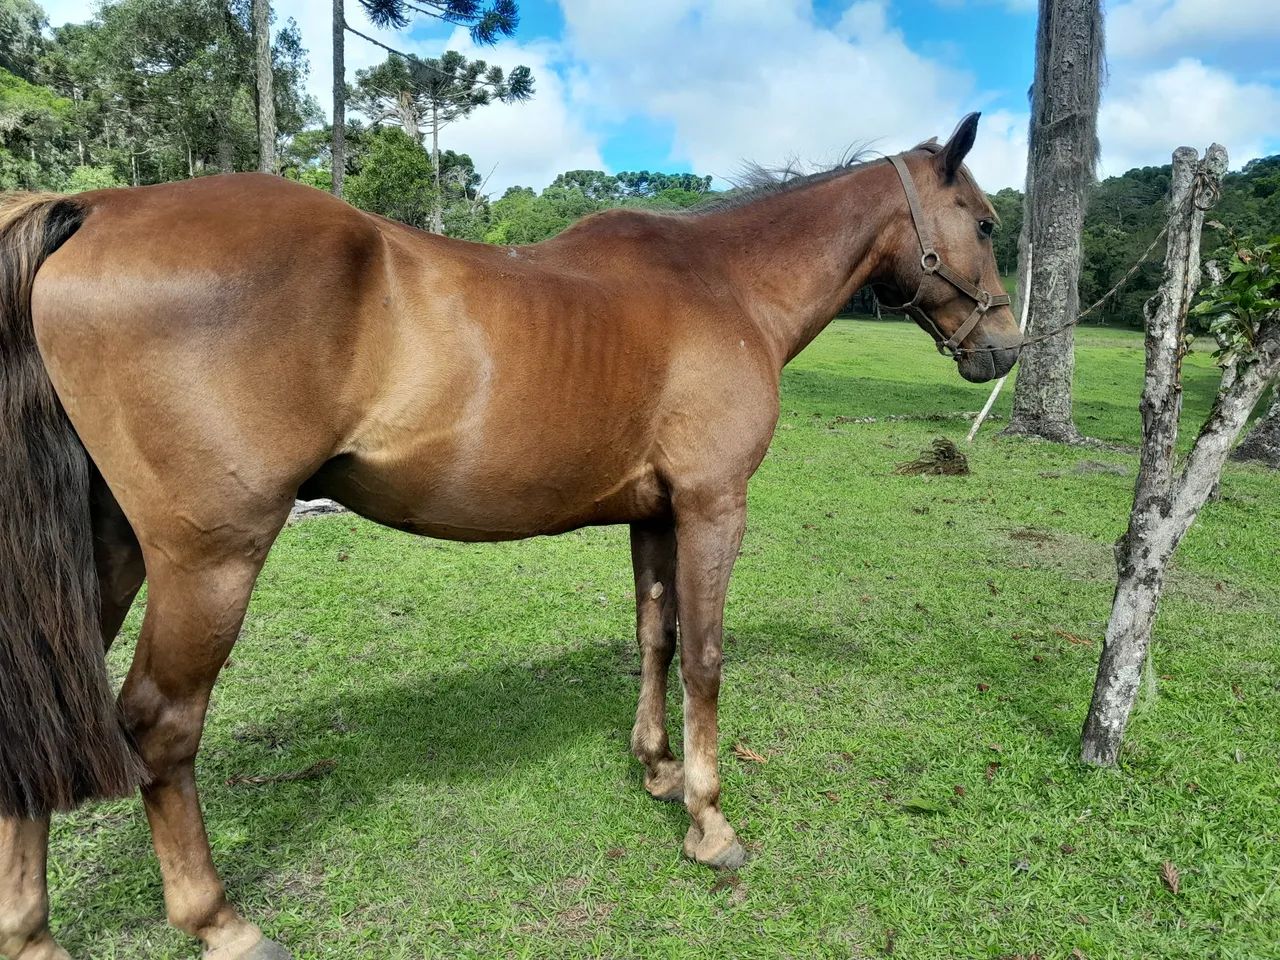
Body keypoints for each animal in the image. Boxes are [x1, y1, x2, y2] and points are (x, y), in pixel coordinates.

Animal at [0, 112, 1019, 960]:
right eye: (985, 224)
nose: (1004, 348)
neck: (725, 286)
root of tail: (97, 207)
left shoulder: (653, 513)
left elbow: (655, 636)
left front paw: (655, 770)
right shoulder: (711, 505)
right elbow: (704, 656)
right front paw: (709, 821)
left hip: (105, 554)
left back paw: (32, 934)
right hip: (207, 560)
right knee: (160, 727)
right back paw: (219, 920)